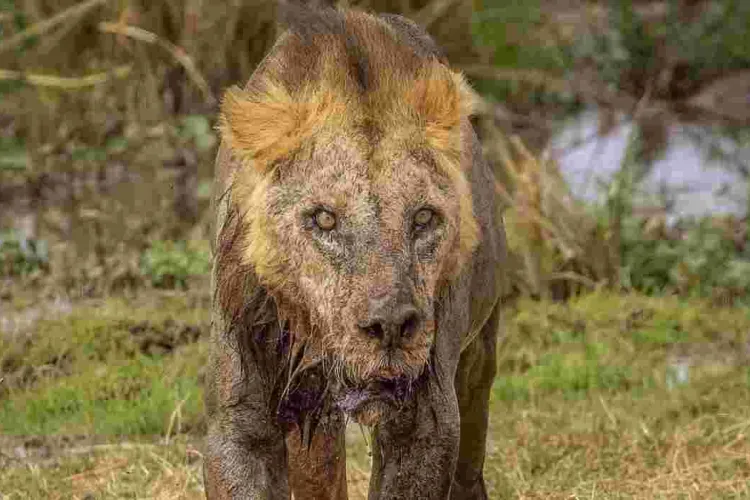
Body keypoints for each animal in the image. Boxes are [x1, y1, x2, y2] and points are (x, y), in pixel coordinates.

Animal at [203, 2, 507, 499]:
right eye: (325, 219)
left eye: (423, 218)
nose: (391, 327)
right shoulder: (238, 418)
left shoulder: (423, 419)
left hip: (479, 348)